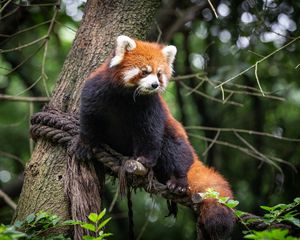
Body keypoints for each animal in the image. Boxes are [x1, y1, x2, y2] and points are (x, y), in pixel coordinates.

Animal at [77, 35, 234, 238]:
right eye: (144, 72)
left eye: (159, 74)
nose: (155, 85)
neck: (126, 96)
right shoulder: (96, 91)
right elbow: (89, 118)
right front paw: (85, 144)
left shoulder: (150, 107)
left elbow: (150, 134)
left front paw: (144, 159)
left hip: (177, 138)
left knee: (175, 149)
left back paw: (178, 182)